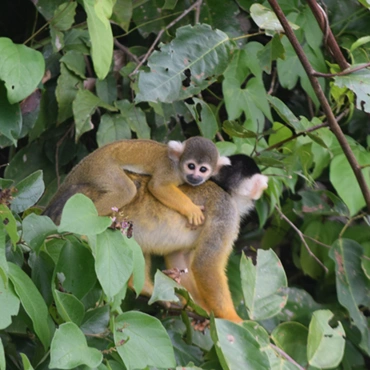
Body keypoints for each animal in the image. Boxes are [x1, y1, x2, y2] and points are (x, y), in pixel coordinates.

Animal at [42, 137, 228, 225]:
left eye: (203, 169)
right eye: (191, 166)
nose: (195, 177)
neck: (178, 165)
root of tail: (86, 161)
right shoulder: (169, 171)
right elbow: (158, 186)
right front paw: (192, 209)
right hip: (102, 167)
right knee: (126, 190)